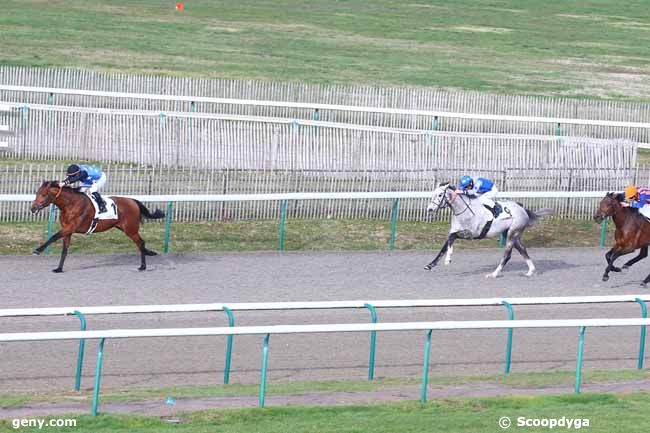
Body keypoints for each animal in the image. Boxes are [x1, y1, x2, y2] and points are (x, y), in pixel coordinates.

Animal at [30, 181, 165, 272]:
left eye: (43, 194)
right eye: (37, 193)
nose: (33, 208)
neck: (70, 204)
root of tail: (133, 201)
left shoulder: (71, 227)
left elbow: (53, 237)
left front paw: (38, 250)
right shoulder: (68, 230)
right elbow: (65, 249)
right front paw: (59, 268)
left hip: (130, 229)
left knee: (141, 242)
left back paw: (143, 266)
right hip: (124, 228)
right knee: (140, 243)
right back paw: (149, 253)